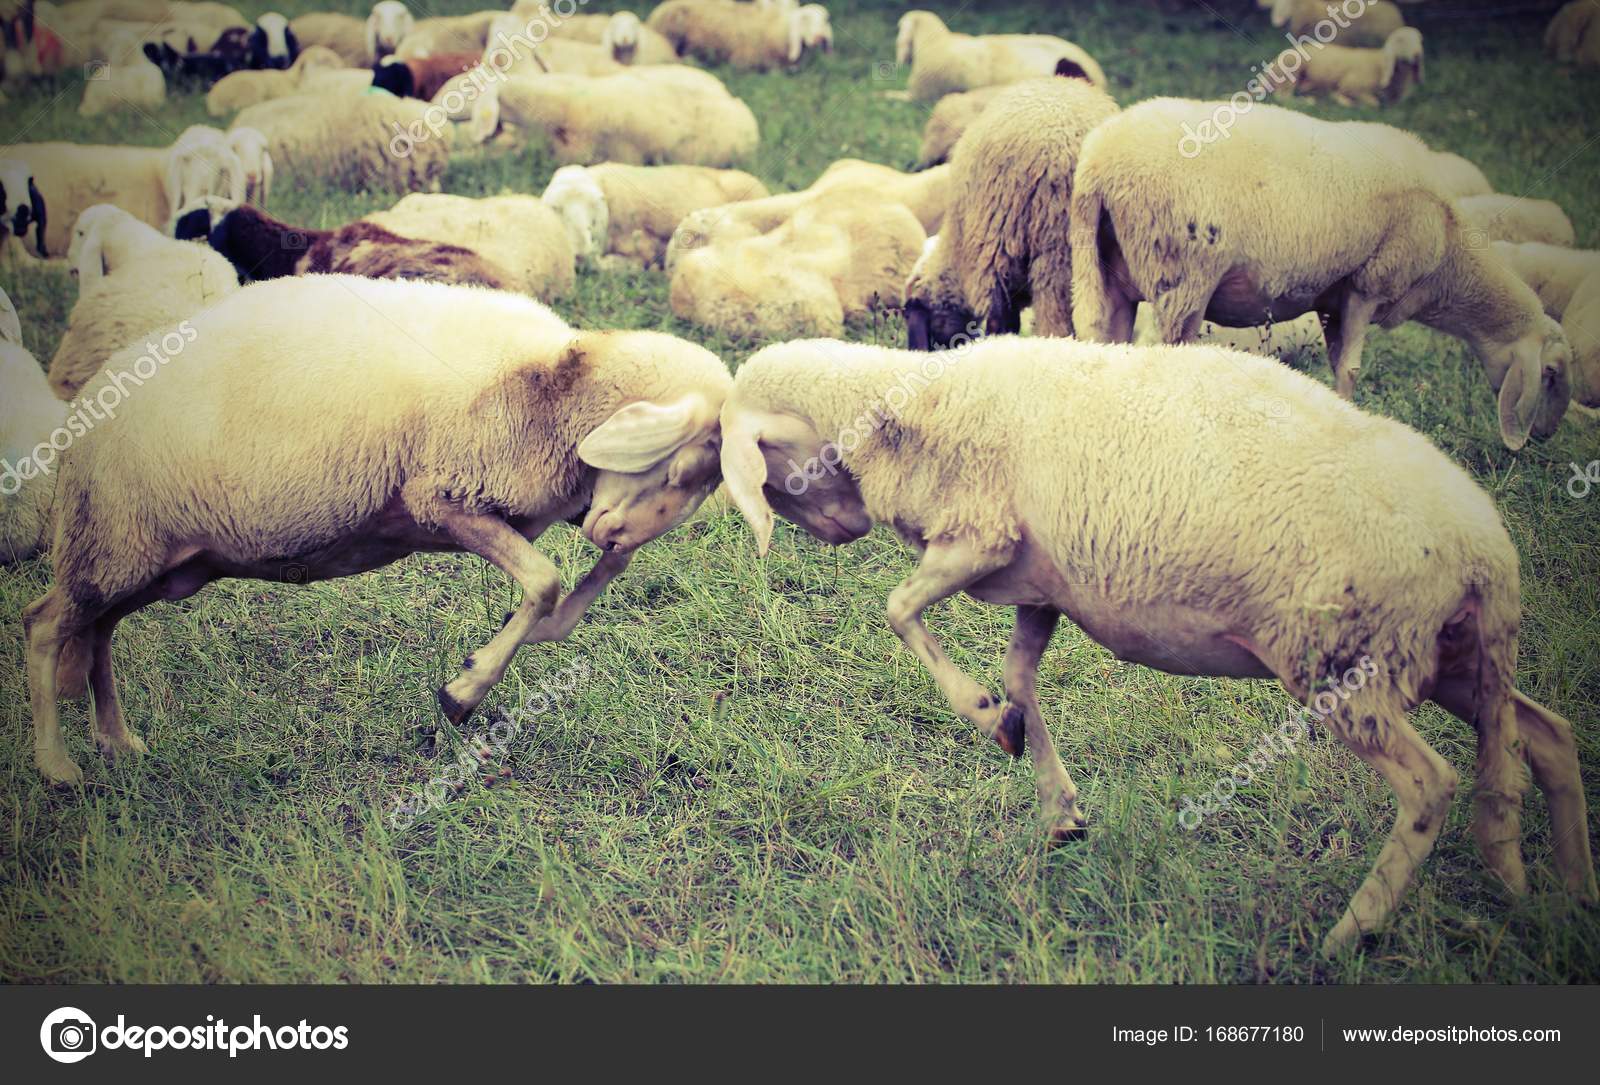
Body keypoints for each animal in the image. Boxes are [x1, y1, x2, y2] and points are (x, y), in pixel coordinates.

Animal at [23, 274, 735, 787]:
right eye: (677, 466)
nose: (611, 532)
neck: (555, 385)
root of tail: (83, 409)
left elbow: (588, 579)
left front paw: (531, 636)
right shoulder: (441, 496)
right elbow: (544, 579)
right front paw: (463, 691)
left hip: (152, 561)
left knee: (96, 633)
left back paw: (118, 742)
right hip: (115, 541)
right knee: (45, 624)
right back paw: (57, 768)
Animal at [716, 334, 1598, 956]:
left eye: (768, 468)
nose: (841, 531)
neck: (902, 401)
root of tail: (1487, 554)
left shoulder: (980, 535)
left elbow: (898, 609)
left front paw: (980, 711)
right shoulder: (1040, 583)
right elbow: (1021, 675)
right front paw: (1052, 795)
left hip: (1340, 660)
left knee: (1431, 784)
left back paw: (1352, 932)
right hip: (1445, 655)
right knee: (1546, 736)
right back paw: (1575, 892)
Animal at [1069, 99, 1571, 450]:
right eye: (1549, 373)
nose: (1546, 436)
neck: (1448, 257)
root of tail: (1100, 164)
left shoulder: (1332, 299)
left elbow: (1335, 362)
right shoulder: (1369, 282)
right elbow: (1350, 369)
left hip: (1103, 272)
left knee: (1100, 340)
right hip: (1183, 275)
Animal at [1273, 26, 1423, 107]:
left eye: (1420, 40)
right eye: (1400, 40)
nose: (1417, 54)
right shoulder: (1350, 84)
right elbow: (1373, 103)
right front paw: (1344, 100)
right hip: (1291, 73)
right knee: (1283, 97)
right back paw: (1307, 101)